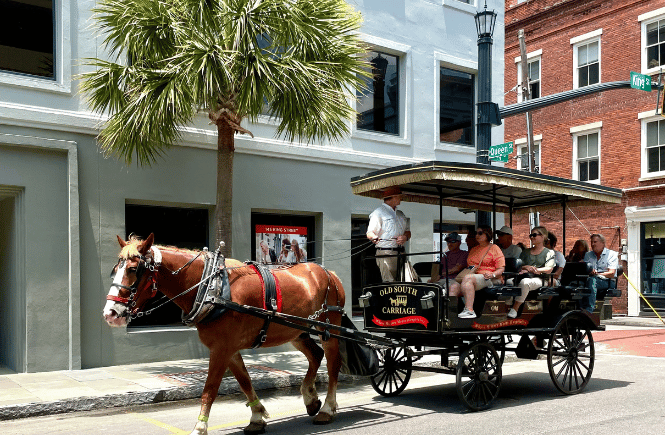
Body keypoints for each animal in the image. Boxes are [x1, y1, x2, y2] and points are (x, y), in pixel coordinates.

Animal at [102, 235, 348, 435]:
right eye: (115, 269)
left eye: (133, 269)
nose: (110, 314)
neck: (211, 288)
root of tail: (331, 274)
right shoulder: (228, 348)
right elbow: (245, 382)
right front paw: (257, 417)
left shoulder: (221, 349)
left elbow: (209, 390)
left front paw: (200, 427)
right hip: (296, 331)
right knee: (315, 355)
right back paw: (310, 398)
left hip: (330, 329)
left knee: (333, 363)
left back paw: (327, 408)